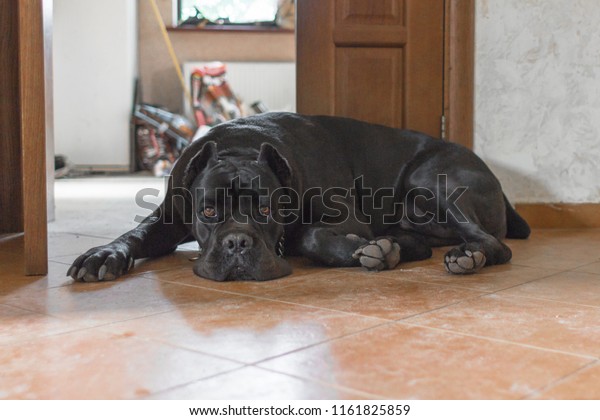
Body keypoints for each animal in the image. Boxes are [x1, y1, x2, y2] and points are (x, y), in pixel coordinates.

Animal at [69, 113, 528, 280]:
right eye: (209, 210)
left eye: (267, 208)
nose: (237, 243)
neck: (238, 147)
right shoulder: (167, 219)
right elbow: (133, 235)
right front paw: (103, 254)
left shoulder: (346, 218)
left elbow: (311, 234)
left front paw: (350, 250)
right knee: (416, 242)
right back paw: (391, 249)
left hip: (434, 180)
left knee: (494, 244)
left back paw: (466, 256)